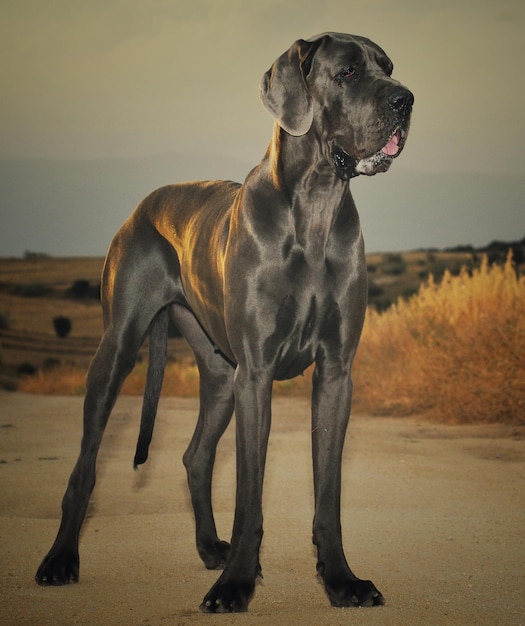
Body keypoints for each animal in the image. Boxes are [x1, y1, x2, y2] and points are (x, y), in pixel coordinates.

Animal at [35, 33, 414, 608]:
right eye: (348, 72)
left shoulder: (335, 374)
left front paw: (340, 579)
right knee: (85, 466)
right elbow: (249, 492)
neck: (316, 204)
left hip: (218, 374)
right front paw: (237, 582)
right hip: (118, 349)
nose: (405, 100)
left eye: (388, 67)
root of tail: (143, 203)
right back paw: (61, 559)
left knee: (195, 456)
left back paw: (210, 546)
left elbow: (328, 493)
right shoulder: (256, 374)